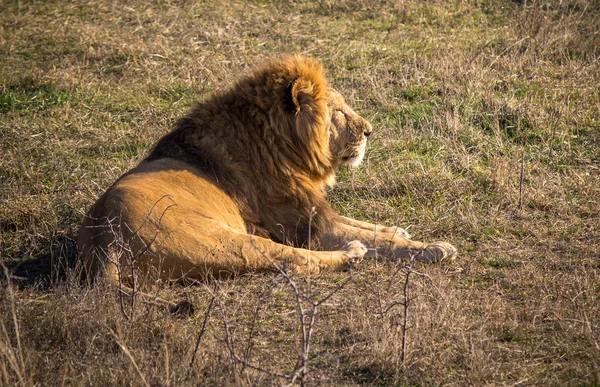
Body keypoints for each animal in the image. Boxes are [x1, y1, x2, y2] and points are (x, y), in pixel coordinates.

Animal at [77, 55, 458, 312]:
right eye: (338, 113)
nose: (369, 131)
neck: (281, 146)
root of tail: (104, 242)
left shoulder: (312, 209)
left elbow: (364, 225)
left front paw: (398, 230)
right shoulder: (304, 226)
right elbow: (373, 239)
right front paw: (433, 247)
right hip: (227, 241)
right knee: (296, 261)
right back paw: (351, 254)